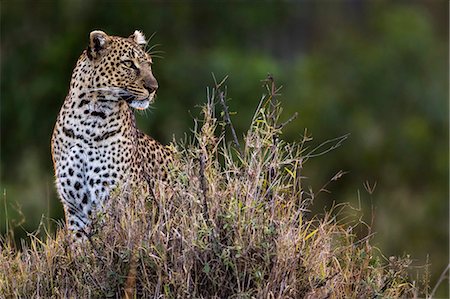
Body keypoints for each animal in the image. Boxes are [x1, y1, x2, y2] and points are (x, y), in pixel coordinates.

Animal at [51, 29, 173, 241]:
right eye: (129, 64)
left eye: (149, 64)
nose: (154, 88)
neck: (88, 119)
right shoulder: (75, 209)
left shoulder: (117, 200)